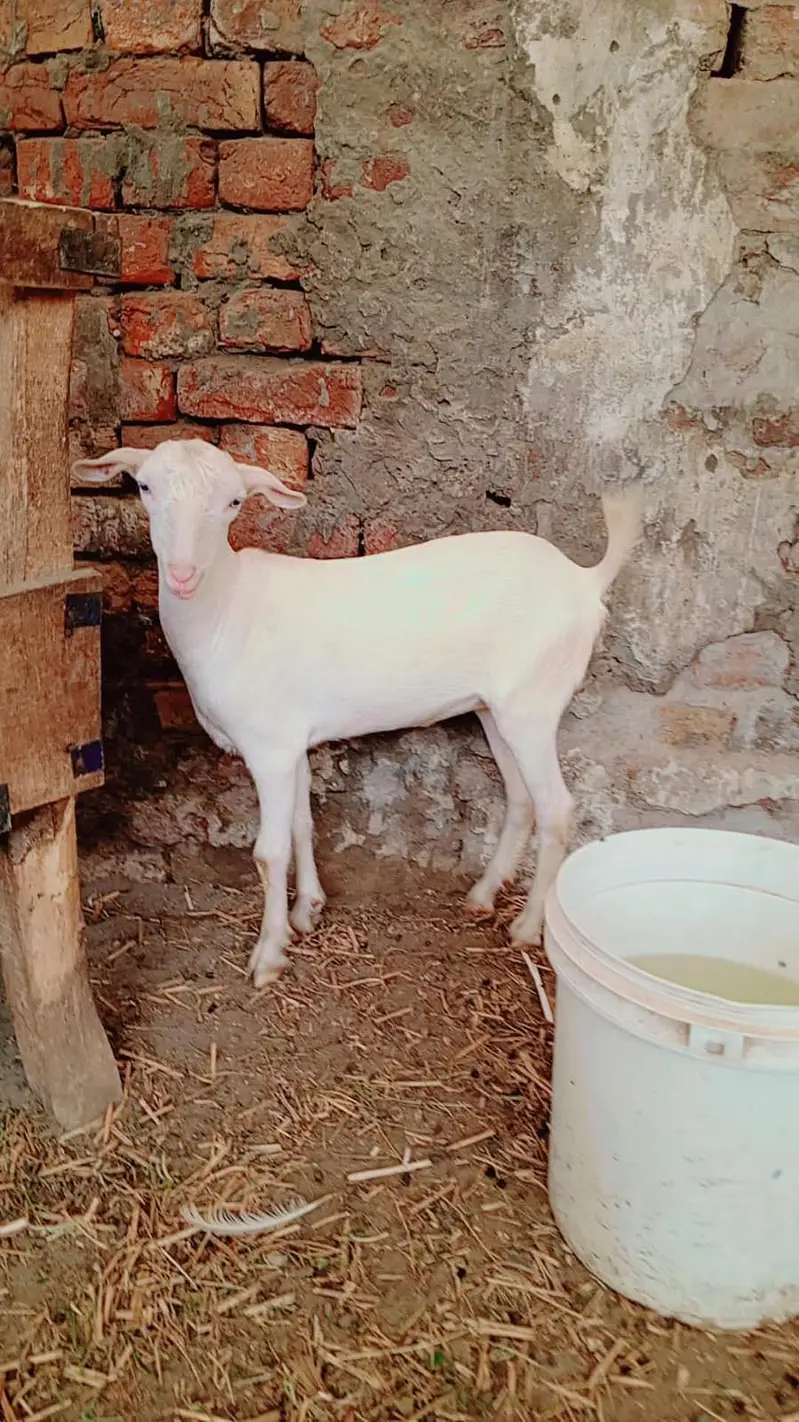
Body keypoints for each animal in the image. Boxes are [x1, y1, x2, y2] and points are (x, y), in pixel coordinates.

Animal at [74, 440, 643, 988]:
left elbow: (269, 852)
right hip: (496, 709)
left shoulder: (269, 747)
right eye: (145, 486)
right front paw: (307, 910)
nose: (184, 575)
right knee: (522, 799)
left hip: (534, 704)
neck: (227, 610)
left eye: (234, 502)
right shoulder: (292, 741)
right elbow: (302, 824)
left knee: (557, 808)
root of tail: (585, 581)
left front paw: (269, 956)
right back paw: (482, 896)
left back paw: (526, 928)